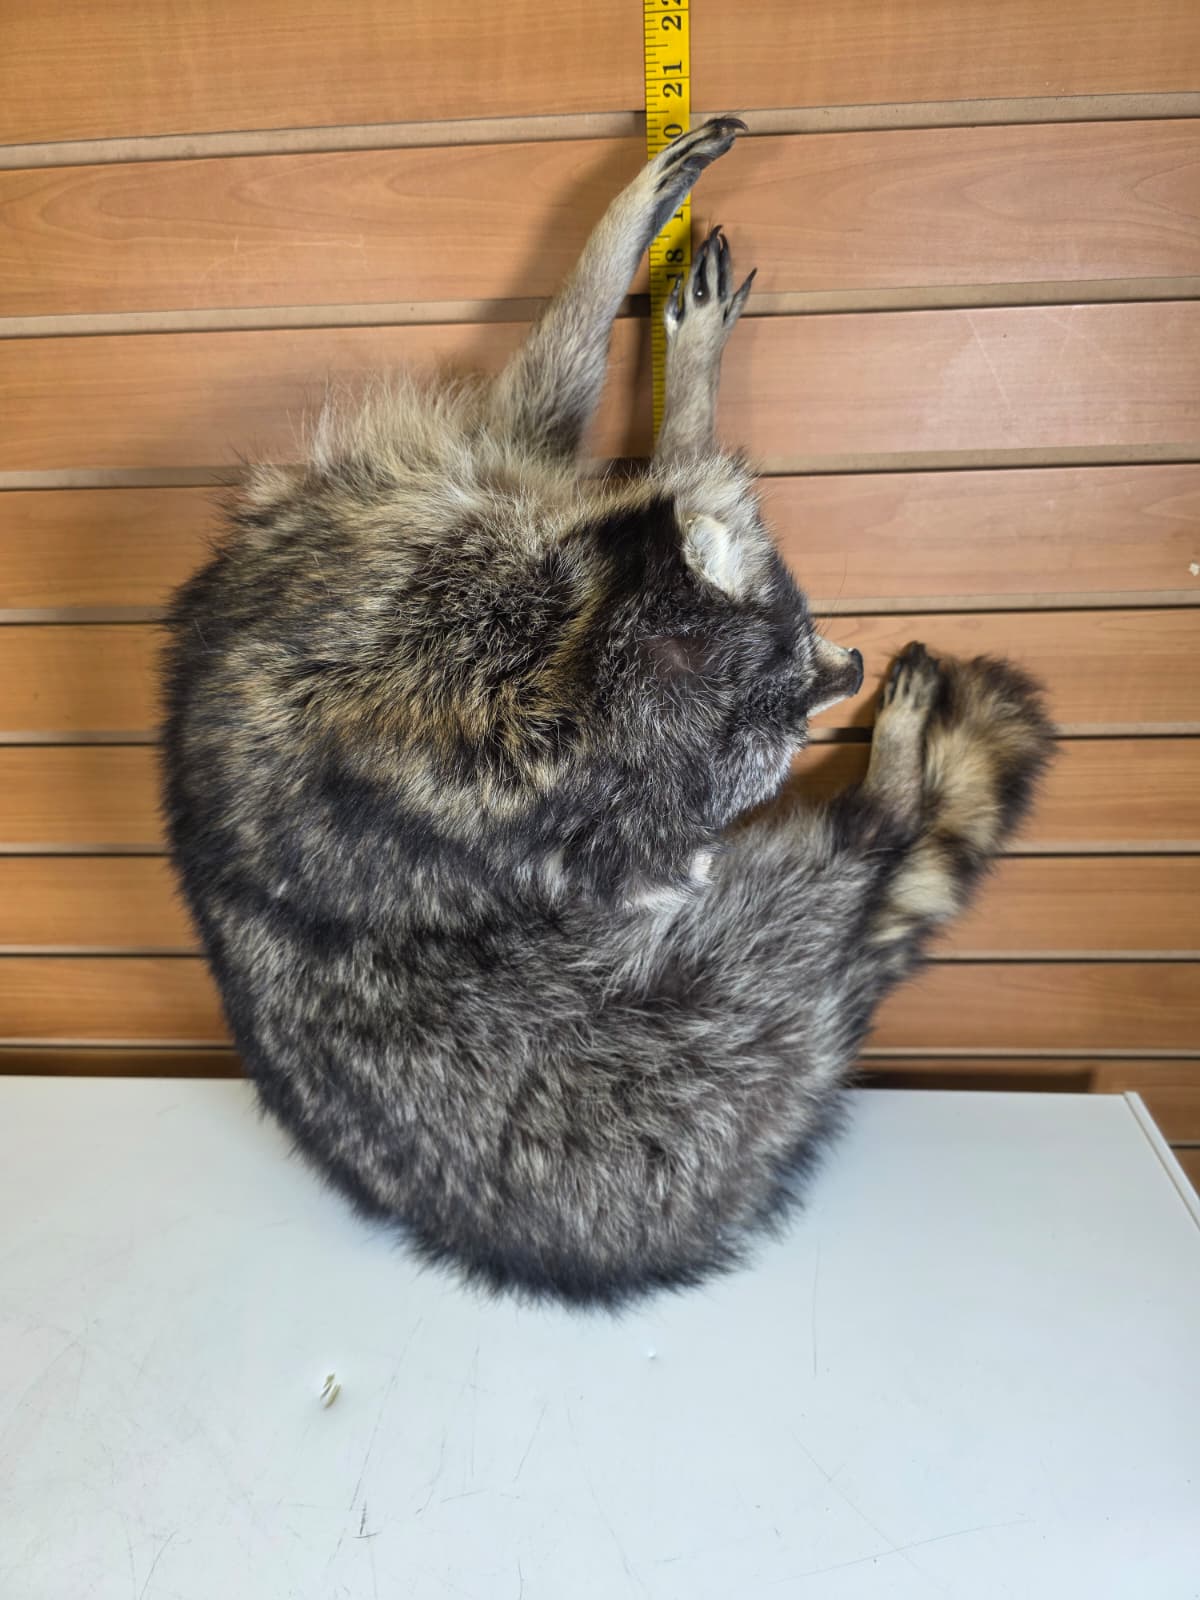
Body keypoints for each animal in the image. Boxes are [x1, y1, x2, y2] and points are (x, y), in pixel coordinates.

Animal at [161, 118, 1053, 1306]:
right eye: (786, 708)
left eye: (795, 648)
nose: (848, 668)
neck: (556, 670)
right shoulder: (412, 559)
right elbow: (553, 399)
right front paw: (640, 298)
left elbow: (550, 415)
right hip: (715, 1003)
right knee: (839, 868)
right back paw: (891, 791)